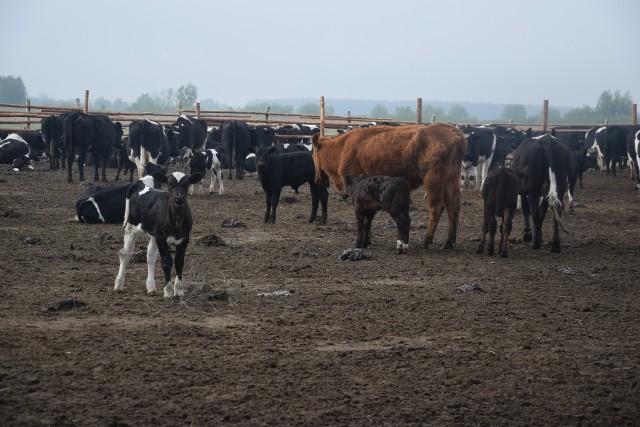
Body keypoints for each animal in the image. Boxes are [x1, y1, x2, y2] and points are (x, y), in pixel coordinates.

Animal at [114, 172, 201, 300]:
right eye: (170, 184)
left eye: (186, 184)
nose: (178, 199)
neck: (176, 220)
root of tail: (140, 185)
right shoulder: (161, 237)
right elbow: (166, 261)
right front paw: (168, 291)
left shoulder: (184, 239)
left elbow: (179, 262)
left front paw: (179, 290)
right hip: (131, 227)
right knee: (125, 253)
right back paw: (119, 284)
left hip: (154, 235)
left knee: (150, 256)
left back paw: (151, 287)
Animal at [314, 123, 468, 251]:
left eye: (313, 154)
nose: (317, 179)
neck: (342, 147)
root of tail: (456, 134)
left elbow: (363, 223)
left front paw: (364, 241)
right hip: (450, 182)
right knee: (452, 208)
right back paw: (449, 243)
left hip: (433, 181)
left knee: (436, 208)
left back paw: (425, 241)